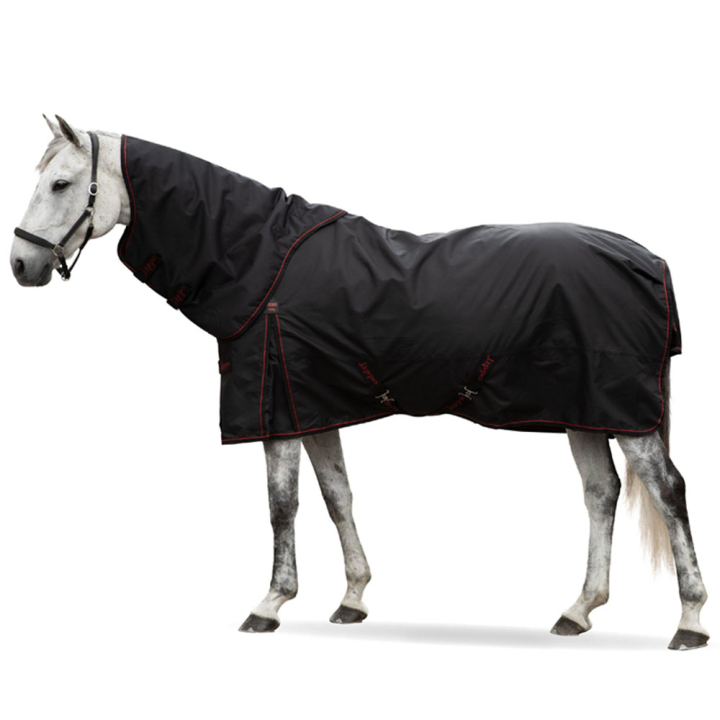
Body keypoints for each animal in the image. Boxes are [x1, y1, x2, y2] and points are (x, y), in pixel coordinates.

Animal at [10, 115, 709, 650]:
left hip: (624, 412)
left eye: (62, 183)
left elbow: (282, 505)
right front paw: (351, 599)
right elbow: (337, 496)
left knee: (669, 492)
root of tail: (648, 260)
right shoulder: (313, 406)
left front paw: (269, 604)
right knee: (601, 493)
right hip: (585, 409)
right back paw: (578, 610)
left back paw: (690, 622)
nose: (21, 265)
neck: (259, 261)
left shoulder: (275, 406)